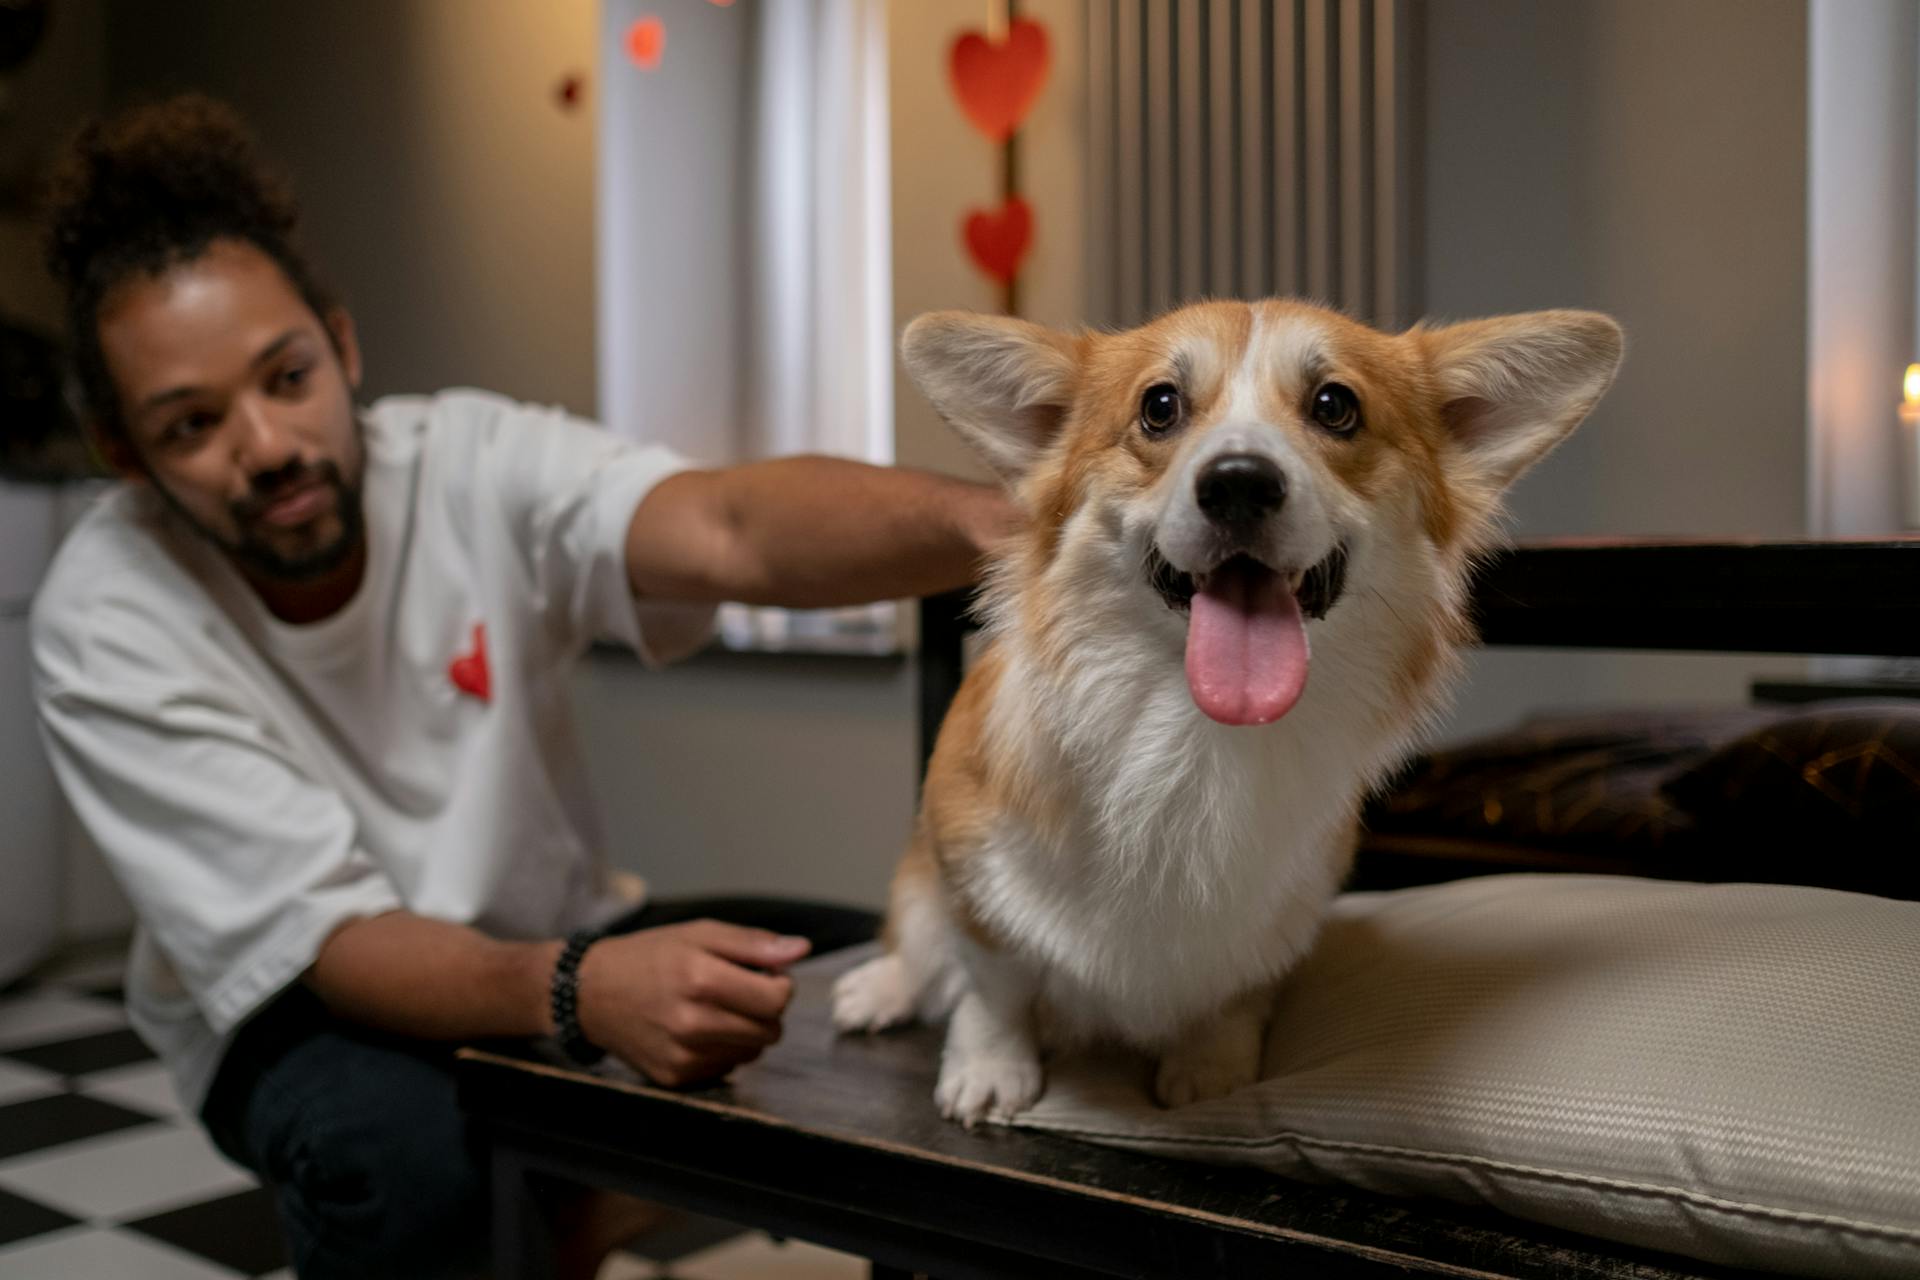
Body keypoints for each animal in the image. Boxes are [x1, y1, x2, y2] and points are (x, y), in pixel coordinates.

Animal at [833, 305, 1628, 1128]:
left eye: (1335, 405)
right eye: (1159, 406)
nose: (1239, 483)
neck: (1195, 736)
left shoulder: (1278, 922)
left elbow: (1234, 994)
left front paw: (1210, 1066)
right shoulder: (967, 866)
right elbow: (995, 983)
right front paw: (991, 1068)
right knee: (918, 943)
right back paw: (881, 988)